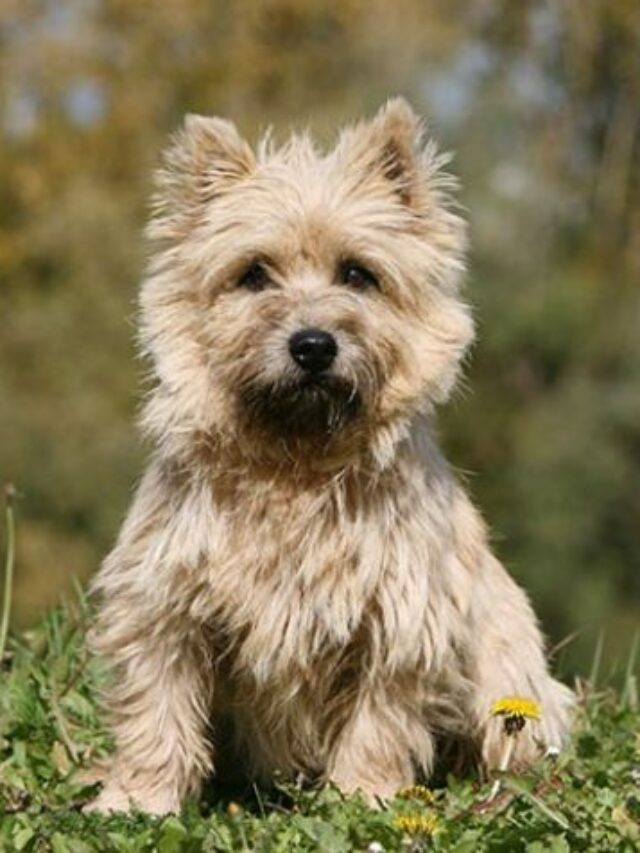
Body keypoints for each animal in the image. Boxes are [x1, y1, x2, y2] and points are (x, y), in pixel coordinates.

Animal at [86, 98, 576, 812]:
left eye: (357, 273)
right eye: (253, 274)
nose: (313, 344)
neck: (295, 465)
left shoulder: (400, 623)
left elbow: (377, 724)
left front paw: (362, 798)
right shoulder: (165, 607)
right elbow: (158, 709)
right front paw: (137, 801)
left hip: (506, 682)